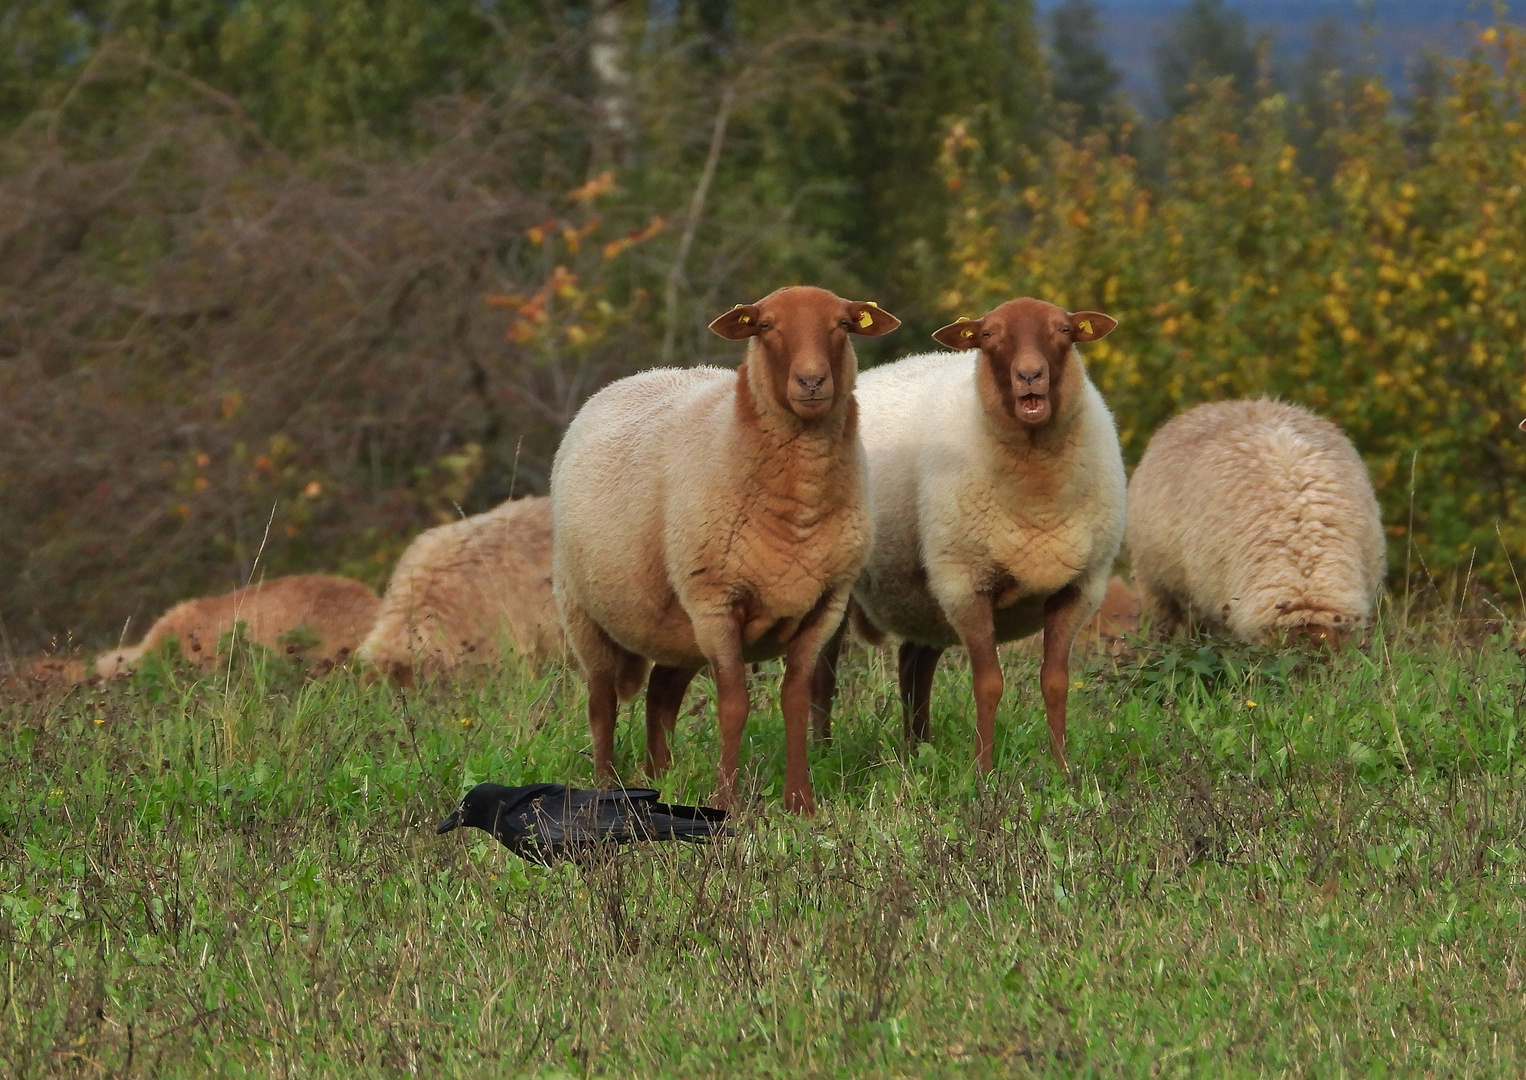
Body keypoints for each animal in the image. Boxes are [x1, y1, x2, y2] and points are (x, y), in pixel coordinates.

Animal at [555, 285, 897, 811]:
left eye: (843, 325)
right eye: (766, 326)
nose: (811, 381)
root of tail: (636, 377)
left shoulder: (824, 605)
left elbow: (796, 700)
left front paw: (800, 803)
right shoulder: (717, 602)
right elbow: (734, 705)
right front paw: (726, 802)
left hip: (675, 626)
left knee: (660, 698)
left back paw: (660, 776)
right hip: (586, 613)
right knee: (602, 702)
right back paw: (606, 787)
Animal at [811, 298, 1135, 771]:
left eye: (1064, 330)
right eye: (988, 335)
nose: (1030, 375)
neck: (1038, 497)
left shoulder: (1078, 588)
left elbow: (1055, 683)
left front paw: (1063, 770)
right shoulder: (966, 584)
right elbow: (989, 684)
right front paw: (984, 773)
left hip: (923, 595)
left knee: (913, 665)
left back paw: (917, 750)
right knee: (822, 672)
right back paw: (821, 753)